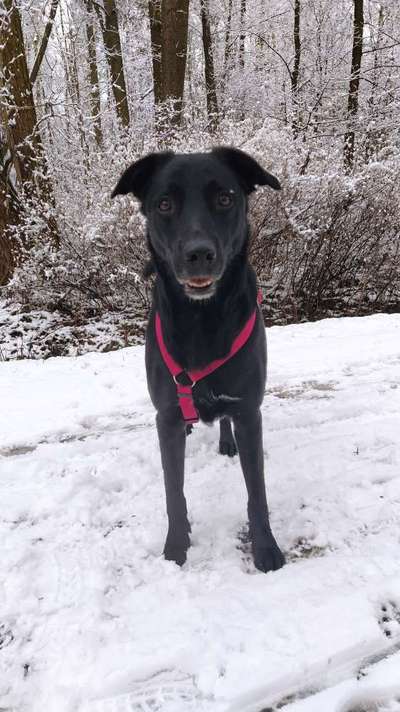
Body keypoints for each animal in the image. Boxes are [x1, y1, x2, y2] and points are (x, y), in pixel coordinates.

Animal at [113, 149, 284, 572]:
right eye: (164, 204)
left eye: (225, 198)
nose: (199, 254)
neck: (201, 319)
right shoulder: (166, 419)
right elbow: (174, 492)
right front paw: (176, 547)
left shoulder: (248, 411)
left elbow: (257, 493)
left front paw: (266, 548)